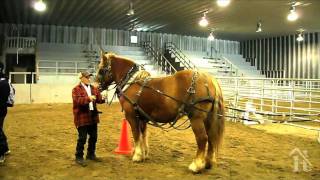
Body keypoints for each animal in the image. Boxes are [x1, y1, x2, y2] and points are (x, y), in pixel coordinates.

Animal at [96, 52, 224, 173]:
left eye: (101, 70)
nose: (96, 87)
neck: (132, 82)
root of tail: (209, 79)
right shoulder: (142, 116)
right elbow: (143, 134)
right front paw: (144, 153)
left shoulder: (131, 115)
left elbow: (136, 134)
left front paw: (137, 155)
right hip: (208, 118)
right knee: (211, 137)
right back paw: (208, 163)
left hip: (196, 118)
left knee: (202, 138)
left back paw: (196, 166)